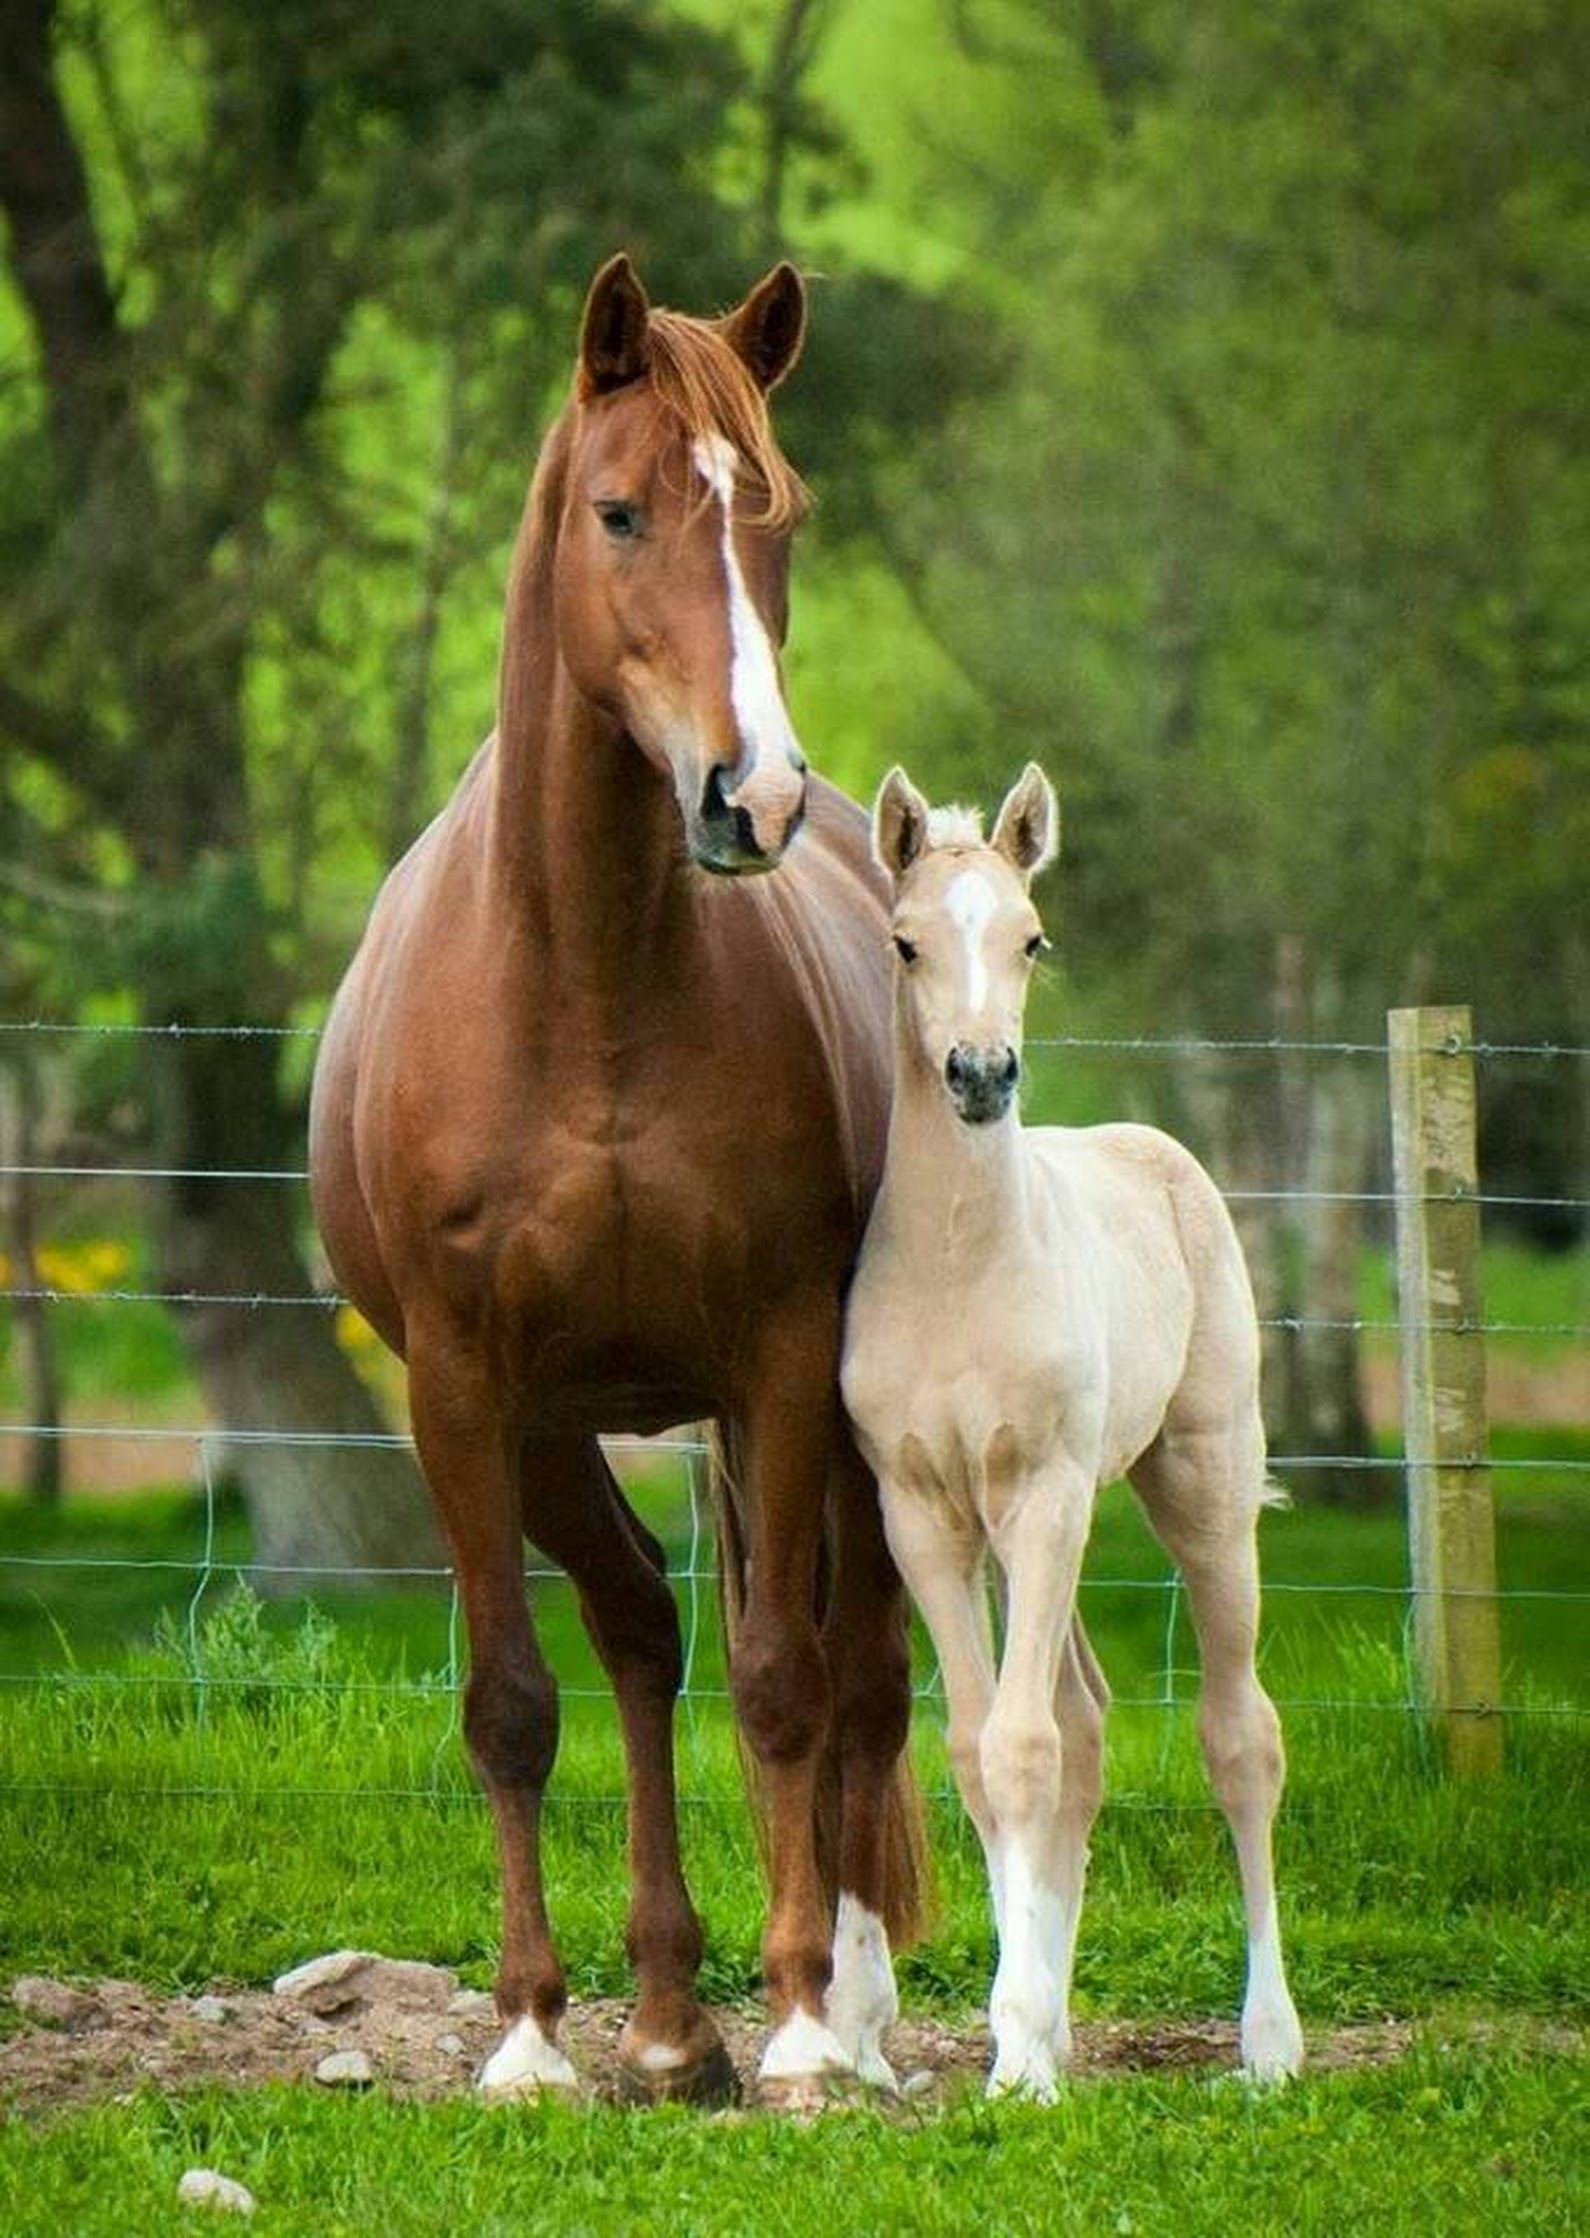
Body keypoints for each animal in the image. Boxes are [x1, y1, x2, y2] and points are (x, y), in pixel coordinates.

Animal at [309, 257, 922, 2094]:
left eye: (775, 510)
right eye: (621, 510)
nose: (753, 795)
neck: (584, 984)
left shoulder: (784, 1358)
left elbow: (787, 1683)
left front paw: (799, 2029)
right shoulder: (461, 1384)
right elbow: (516, 1698)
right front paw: (527, 2037)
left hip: (839, 1428)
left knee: (861, 1676)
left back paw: (848, 2013)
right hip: (552, 1426)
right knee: (644, 1628)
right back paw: (657, 2022)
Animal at [846, 765, 1307, 2094]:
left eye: (1032, 938)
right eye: (905, 941)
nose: (981, 1074)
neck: (959, 1268)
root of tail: (1152, 1148)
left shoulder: (1048, 1492)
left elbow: (1023, 1750)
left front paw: (1023, 2058)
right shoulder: (924, 1515)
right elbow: (979, 1752)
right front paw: (1022, 2033)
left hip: (1200, 1485)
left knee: (1239, 1736)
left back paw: (1271, 2043)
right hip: (1018, 1536)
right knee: (1088, 1723)